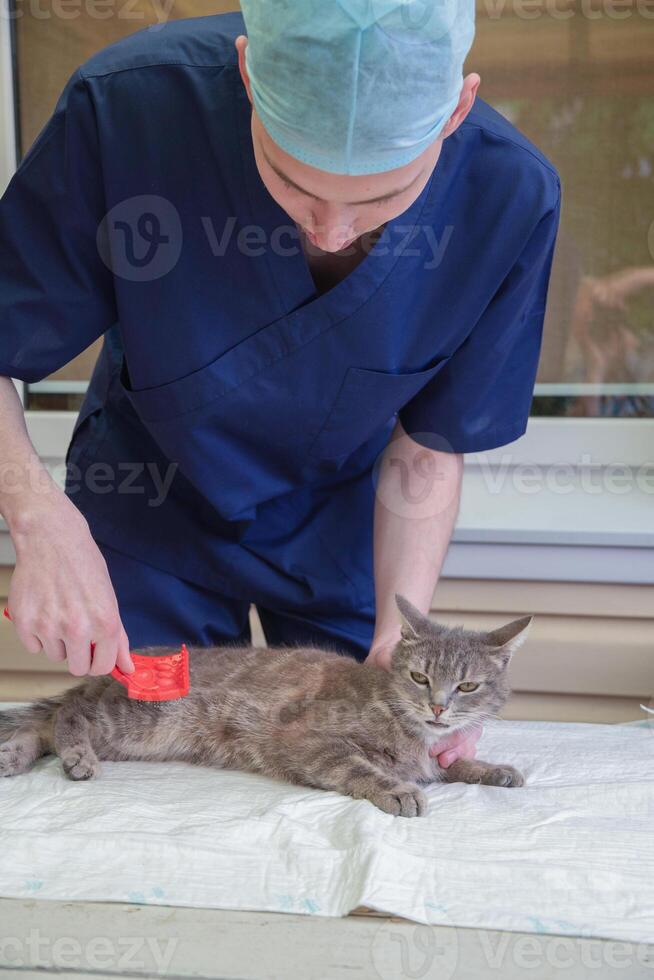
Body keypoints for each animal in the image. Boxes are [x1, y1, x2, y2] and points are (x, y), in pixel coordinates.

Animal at [0, 592, 532, 816]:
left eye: (467, 687)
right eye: (420, 677)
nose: (439, 707)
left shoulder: (437, 753)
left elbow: (451, 764)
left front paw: (490, 767)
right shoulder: (309, 741)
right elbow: (360, 767)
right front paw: (397, 790)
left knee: (43, 724)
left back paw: (15, 754)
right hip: (136, 722)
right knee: (65, 716)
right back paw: (75, 755)